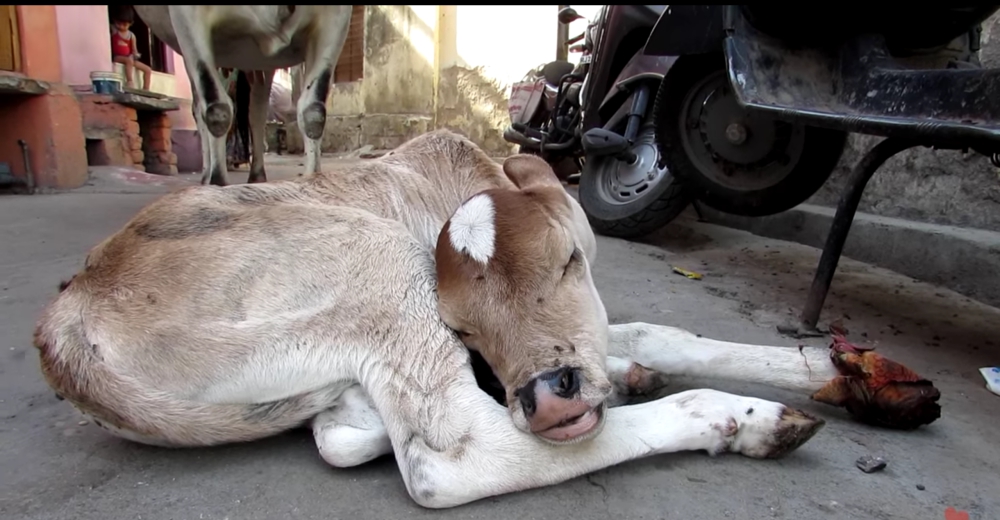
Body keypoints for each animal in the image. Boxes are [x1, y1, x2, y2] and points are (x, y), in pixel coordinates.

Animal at [33, 129, 936, 508]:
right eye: (464, 323)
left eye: (567, 264)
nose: (553, 395)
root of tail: (65, 317)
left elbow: (656, 333)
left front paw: (848, 372)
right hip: (378, 260)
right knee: (450, 459)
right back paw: (738, 418)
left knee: (349, 432)